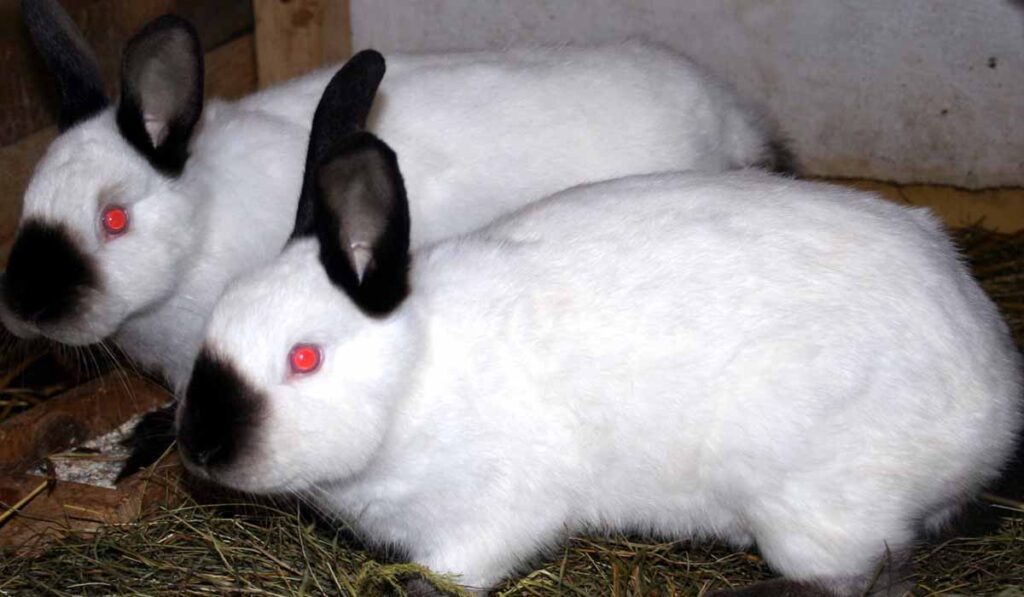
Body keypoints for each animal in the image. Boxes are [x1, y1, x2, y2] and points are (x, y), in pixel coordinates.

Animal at [175, 118, 1022, 595]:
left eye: (304, 358)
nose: (199, 447)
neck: (415, 377)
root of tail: (995, 396)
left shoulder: (491, 514)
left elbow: (452, 572)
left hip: (816, 498)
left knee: (853, 575)